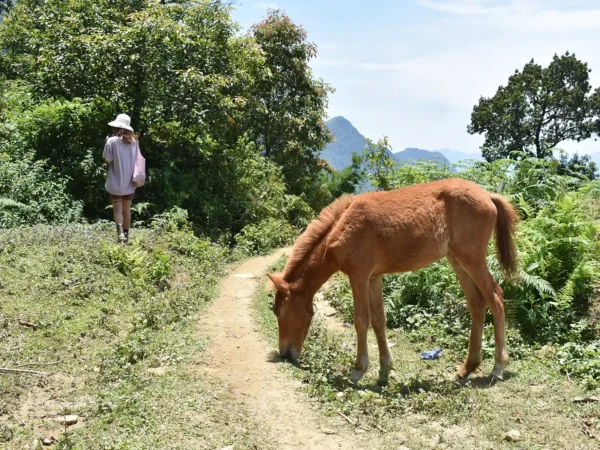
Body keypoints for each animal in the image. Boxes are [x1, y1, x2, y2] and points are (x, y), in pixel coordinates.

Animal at [264, 178, 516, 384]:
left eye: (278, 312)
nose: (285, 353)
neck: (342, 227)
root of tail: (488, 195)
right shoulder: (374, 278)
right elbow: (379, 320)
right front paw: (385, 369)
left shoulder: (359, 276)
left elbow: (361, 321)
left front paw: (358, 370)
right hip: (457, 260)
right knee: (476, 303)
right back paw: (466, 369)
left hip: (472, 259)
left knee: (496, 297)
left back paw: (498, 367)